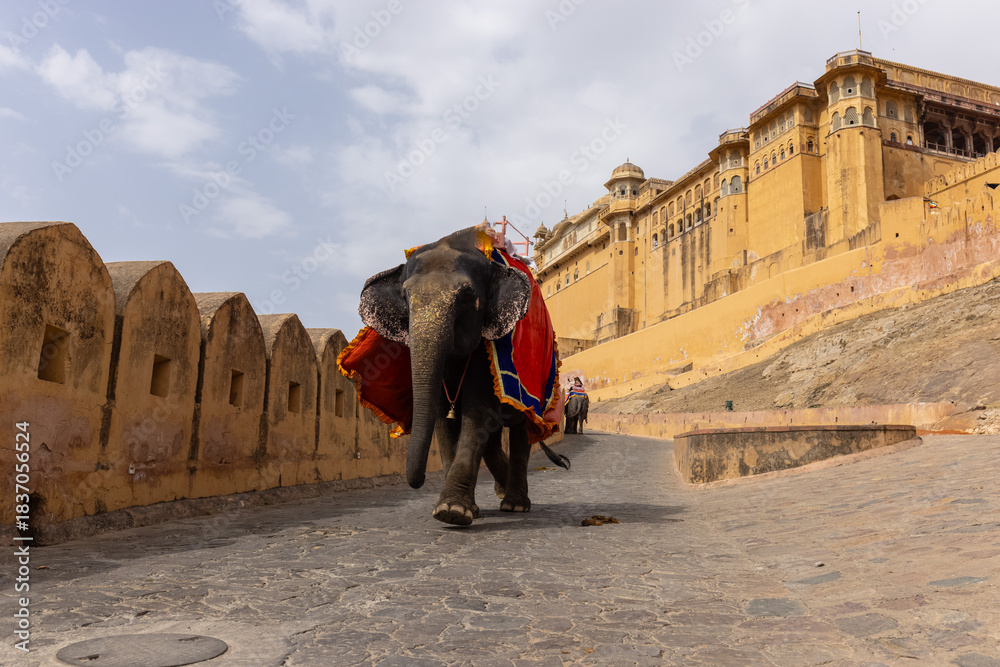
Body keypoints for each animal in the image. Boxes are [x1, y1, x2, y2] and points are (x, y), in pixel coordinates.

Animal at [353, 227, 561, 526]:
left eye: (467, 295)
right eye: (405, 297)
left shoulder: (487, 345)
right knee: (493, 437)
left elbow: (477, 412)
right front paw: (464, 509)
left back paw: (515, 504)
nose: (417, 482)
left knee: (519, 430)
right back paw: (501, 490)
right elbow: (444, 418)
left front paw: (452, 512)